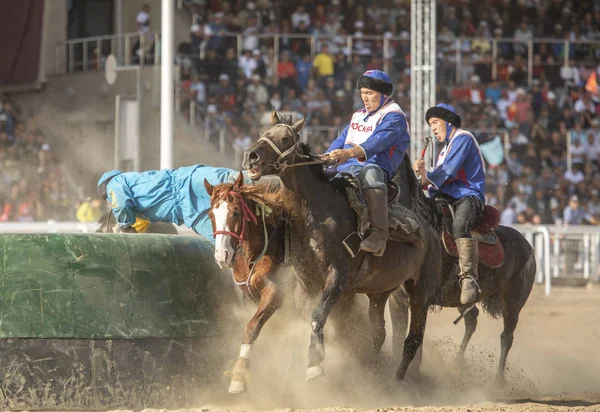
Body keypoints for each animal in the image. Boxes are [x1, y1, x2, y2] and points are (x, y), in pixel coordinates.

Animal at [203, 173, 288, 392]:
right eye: (211, 215)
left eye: (236, 212)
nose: (222, 257)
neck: (254, 255)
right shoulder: (249, 297)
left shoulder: (275, 292)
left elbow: (252, 326)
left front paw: (238, 376)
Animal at [241, 112, 442, 384]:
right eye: (264, 132)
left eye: (285, 138)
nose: (251, 155)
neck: (315, 213)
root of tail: (429, 231)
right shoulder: (307, 280)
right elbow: (312, 315)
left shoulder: (338, 275)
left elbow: (318, 315)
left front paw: (314, 364)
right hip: (380, 293)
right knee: (378, 333)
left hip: (421, 292)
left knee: (412, 340)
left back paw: (397, 380)